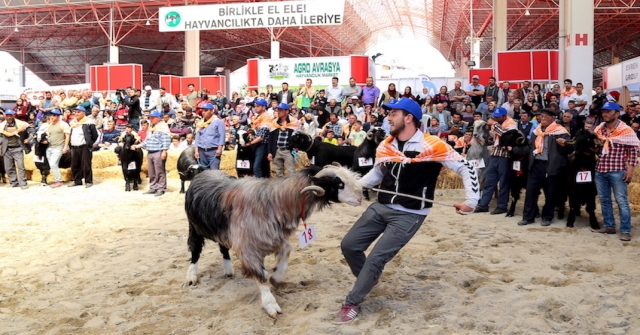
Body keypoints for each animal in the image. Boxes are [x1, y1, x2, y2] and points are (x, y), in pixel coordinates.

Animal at [185, 167, 362, 318]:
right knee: (195, 249)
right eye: (339, 184)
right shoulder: (248, 248)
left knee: (223, 246)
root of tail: (204, 171)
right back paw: (191, 276)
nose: (360, 198)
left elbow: (286, 253)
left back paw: (228, 270)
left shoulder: (274, 239)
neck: (275, 202)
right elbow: (261, 275)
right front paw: (270, 304)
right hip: (195, 227)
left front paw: (276, 277)